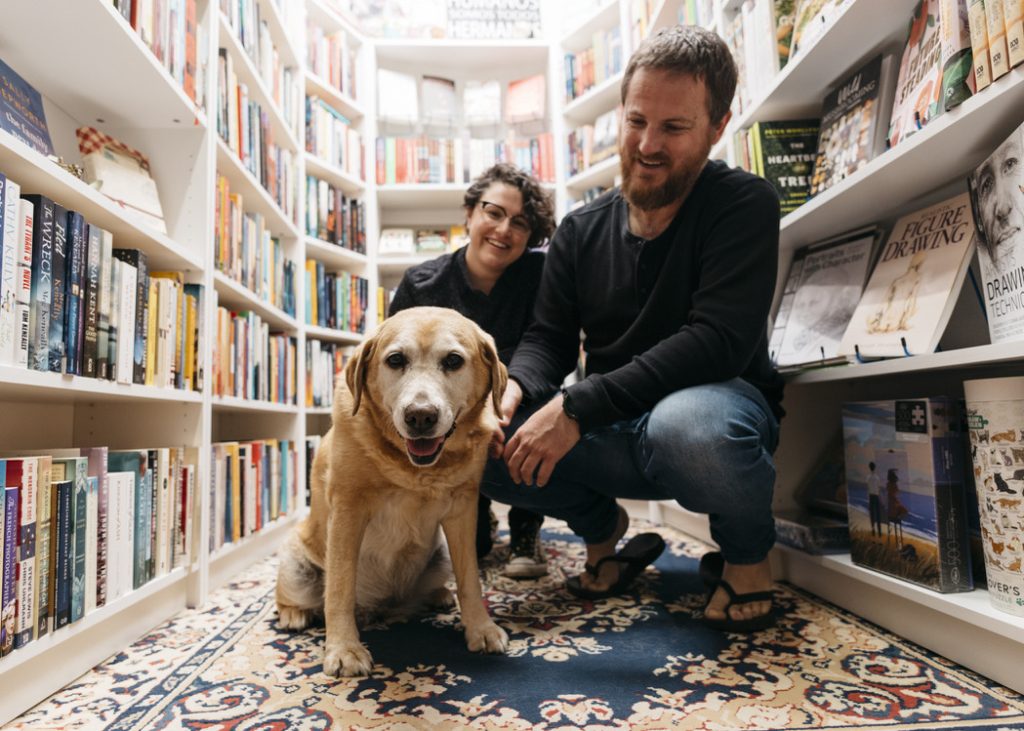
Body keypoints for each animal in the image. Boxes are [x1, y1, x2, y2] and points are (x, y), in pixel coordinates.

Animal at [276, 305, 507, 675]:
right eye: (396, 360)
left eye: (453, 361)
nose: (421, 416)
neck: (415, 470)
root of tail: (383, 605)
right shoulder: (348, 508)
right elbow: (339, 588)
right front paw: (344, 648)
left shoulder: (462, 509)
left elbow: (470, 578)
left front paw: (480, 628)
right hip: (296, 565)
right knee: (293, 597)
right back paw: (294, 614)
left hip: (441, 553)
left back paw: (439, 595)